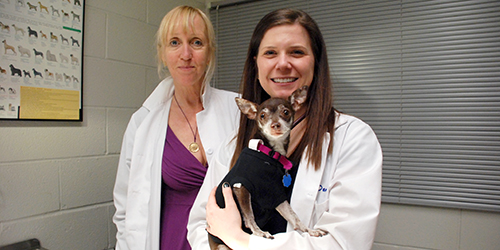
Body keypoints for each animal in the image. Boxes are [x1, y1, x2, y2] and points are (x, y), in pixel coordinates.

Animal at [209, 85, 326, 249]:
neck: (270, 154)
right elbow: (249, 216)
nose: (275, 124)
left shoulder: (275, 194)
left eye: (286, 112)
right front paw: (259, 233)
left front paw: (309, 230)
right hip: (221, 246)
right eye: (262, 116)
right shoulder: (240, 186)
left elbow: (294, 217)